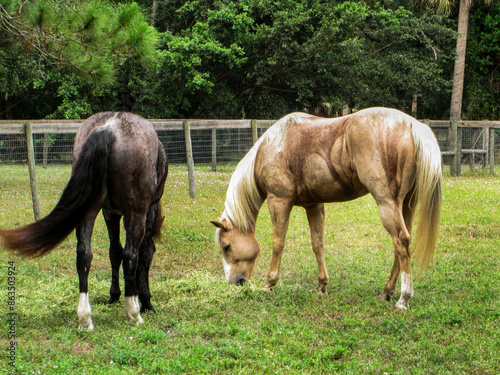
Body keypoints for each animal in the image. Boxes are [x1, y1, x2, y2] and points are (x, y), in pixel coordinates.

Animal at [0, 113, 169, 330]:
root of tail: (109, 127)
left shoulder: (109, 213)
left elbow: (114, 252)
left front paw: (114, 296)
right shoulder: (147, 210)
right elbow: (142, 253)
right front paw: (146, 301)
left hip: (88, 211)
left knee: (84, 255)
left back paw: (85, 317)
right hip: (135, 211)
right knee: (130, 255)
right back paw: (133, 313)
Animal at [211, 107, 442, 310]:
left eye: (226, 247)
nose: (235, 282)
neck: (272, 146)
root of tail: (412, 125)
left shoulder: (279, 201)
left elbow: (278, 243)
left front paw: (269, 284)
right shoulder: (313, 205)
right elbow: (318, 244)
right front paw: (321, 286)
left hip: (387, 203)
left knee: (401, 241)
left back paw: (403, 298)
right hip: (406, 204)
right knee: (402, 244)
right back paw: (387, 292)